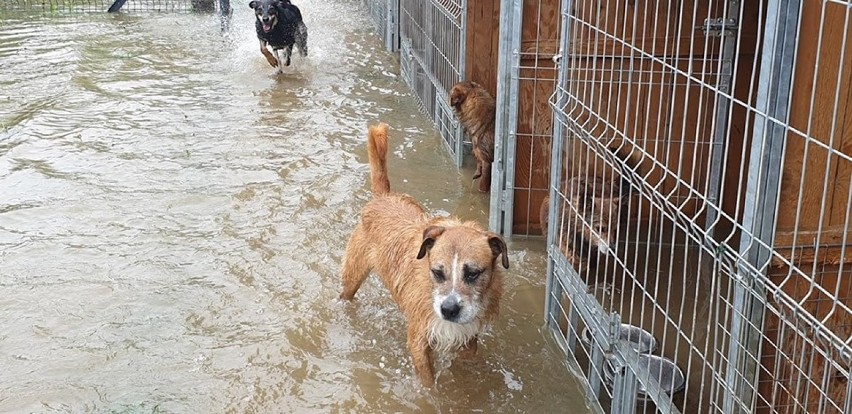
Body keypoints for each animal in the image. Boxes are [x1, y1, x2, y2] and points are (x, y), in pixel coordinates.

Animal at [340, 121, 512, 386]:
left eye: (473, 273)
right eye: (437, 273)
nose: (448, 310)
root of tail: (383, 197)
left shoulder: (468, 334)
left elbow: (468, 354)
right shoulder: (419, 339)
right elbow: (429, 384)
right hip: (353, 275)